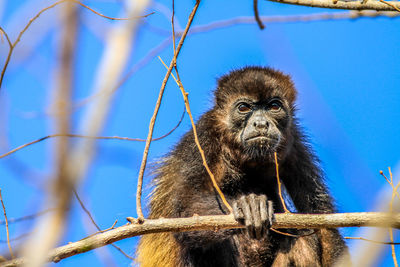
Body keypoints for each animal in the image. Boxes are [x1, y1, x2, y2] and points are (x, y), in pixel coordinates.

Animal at [136, 66, 348, 266]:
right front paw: (248, 206)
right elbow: (185, 207)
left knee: (303, 235)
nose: (261, 124)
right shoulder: (203, 138)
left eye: (274, 106)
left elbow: (322, 221)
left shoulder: (294, 142)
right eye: (244, 108)